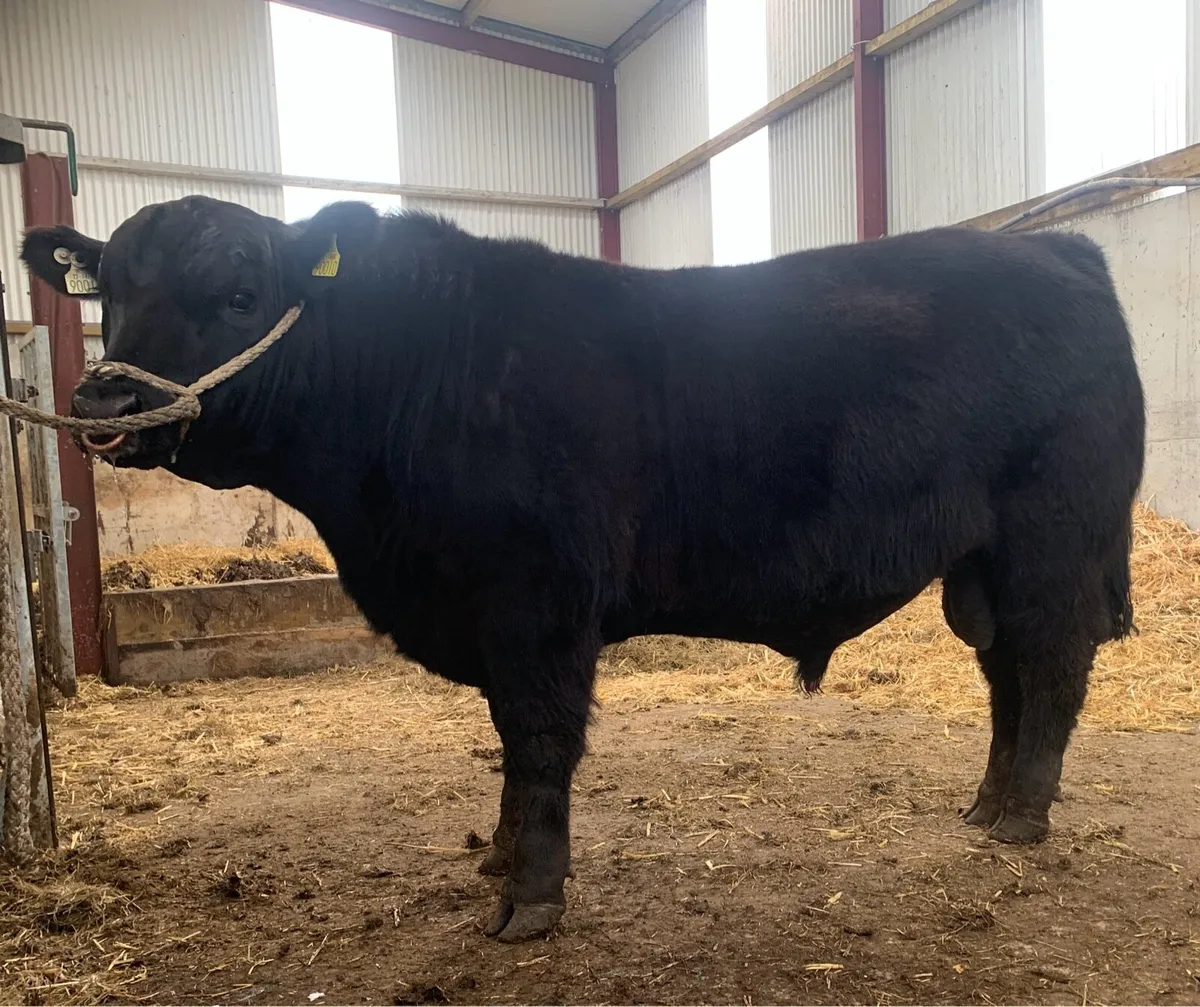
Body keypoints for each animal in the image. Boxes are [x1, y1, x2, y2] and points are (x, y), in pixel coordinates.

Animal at [22, 196, 1145, 943]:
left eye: (240, 292)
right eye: (110, 289)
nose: (104, 402)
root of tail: (1059, 247)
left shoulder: (536, 604)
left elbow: (537, 740)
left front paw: (527, 894)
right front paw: (507, 862)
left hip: (1054, 540)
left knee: (1052, 669)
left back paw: (1021, 817)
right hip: (985, 566)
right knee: (1008, 676)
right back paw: (987, 806)